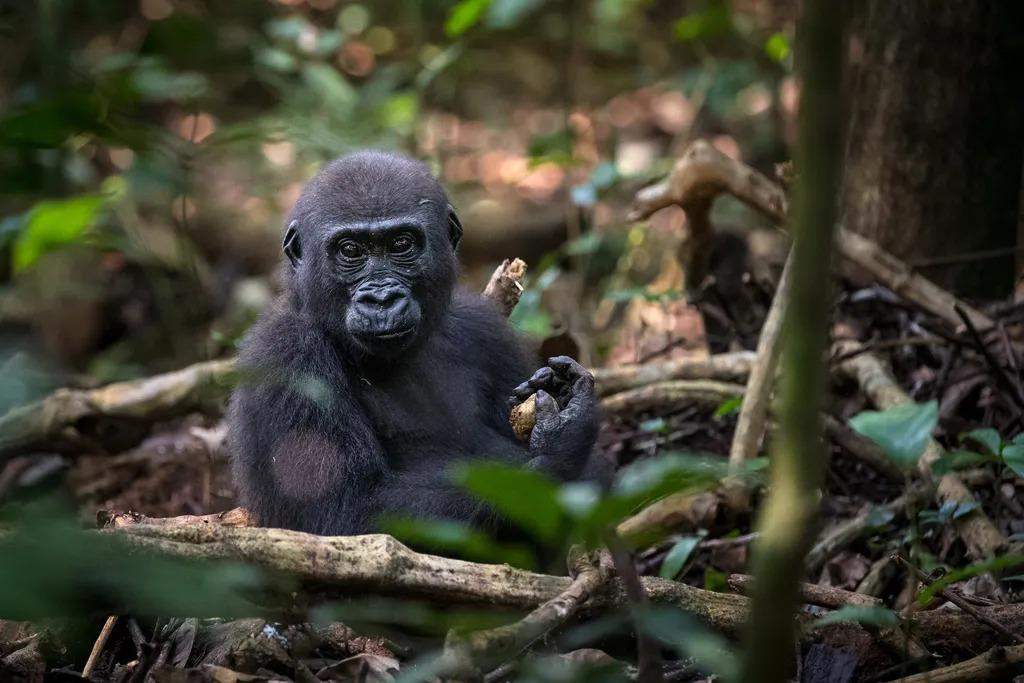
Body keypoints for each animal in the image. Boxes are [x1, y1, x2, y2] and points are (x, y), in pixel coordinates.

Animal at [228, 152, 602, 536]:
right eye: (350, 250)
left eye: (401, 244)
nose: (382, 298)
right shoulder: (284, 354)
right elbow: (346, 512)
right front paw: (563, 443)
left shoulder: (487, 330)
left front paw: (563, 394)